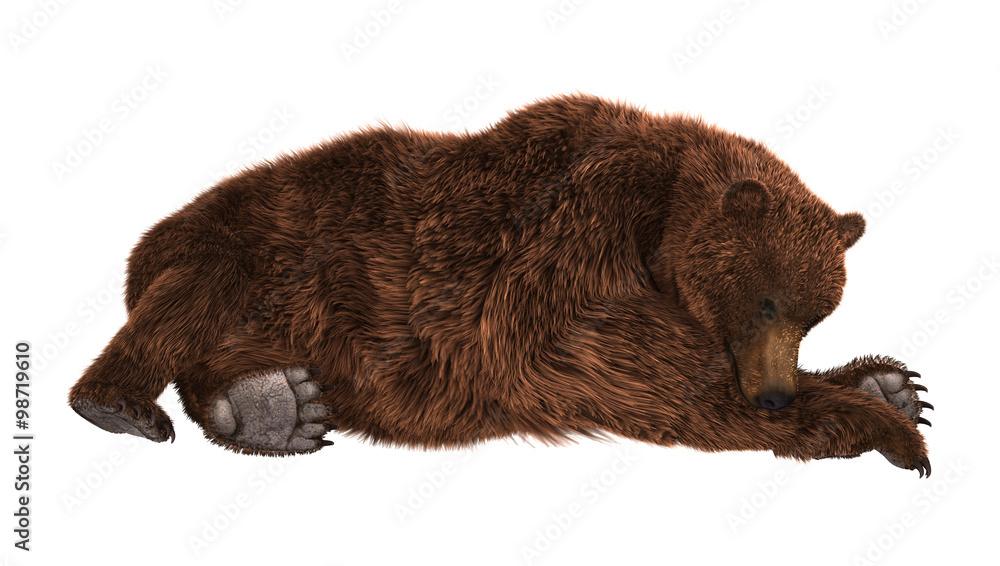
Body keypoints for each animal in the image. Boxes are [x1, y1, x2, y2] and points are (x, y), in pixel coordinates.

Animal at [68, 93, 933, 476]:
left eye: (816, 315)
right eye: (767, 299)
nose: (774, 394)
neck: (660, 220)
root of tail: (154, 232)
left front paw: (890, 385)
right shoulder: (563, 252)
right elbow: (642, 375)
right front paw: (890, 428)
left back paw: (276, 405)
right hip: (256, 243)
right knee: (189, 305)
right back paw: (128, 404)